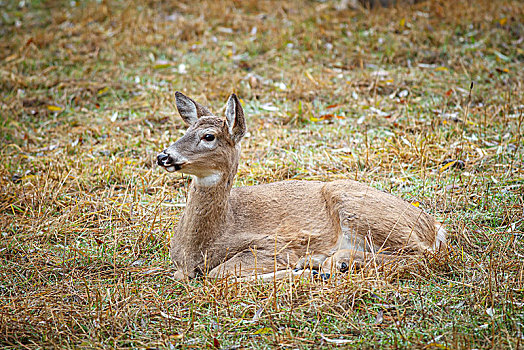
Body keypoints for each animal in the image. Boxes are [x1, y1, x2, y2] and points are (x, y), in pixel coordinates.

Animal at [157, 91, 446, 280]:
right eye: (185, 131)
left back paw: (332, 263)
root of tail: (434, 226)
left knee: (424, 254)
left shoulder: (275, 245)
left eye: (209, 136)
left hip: (360, 208)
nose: (164, 156)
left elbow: (218, 274)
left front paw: (300, 271)